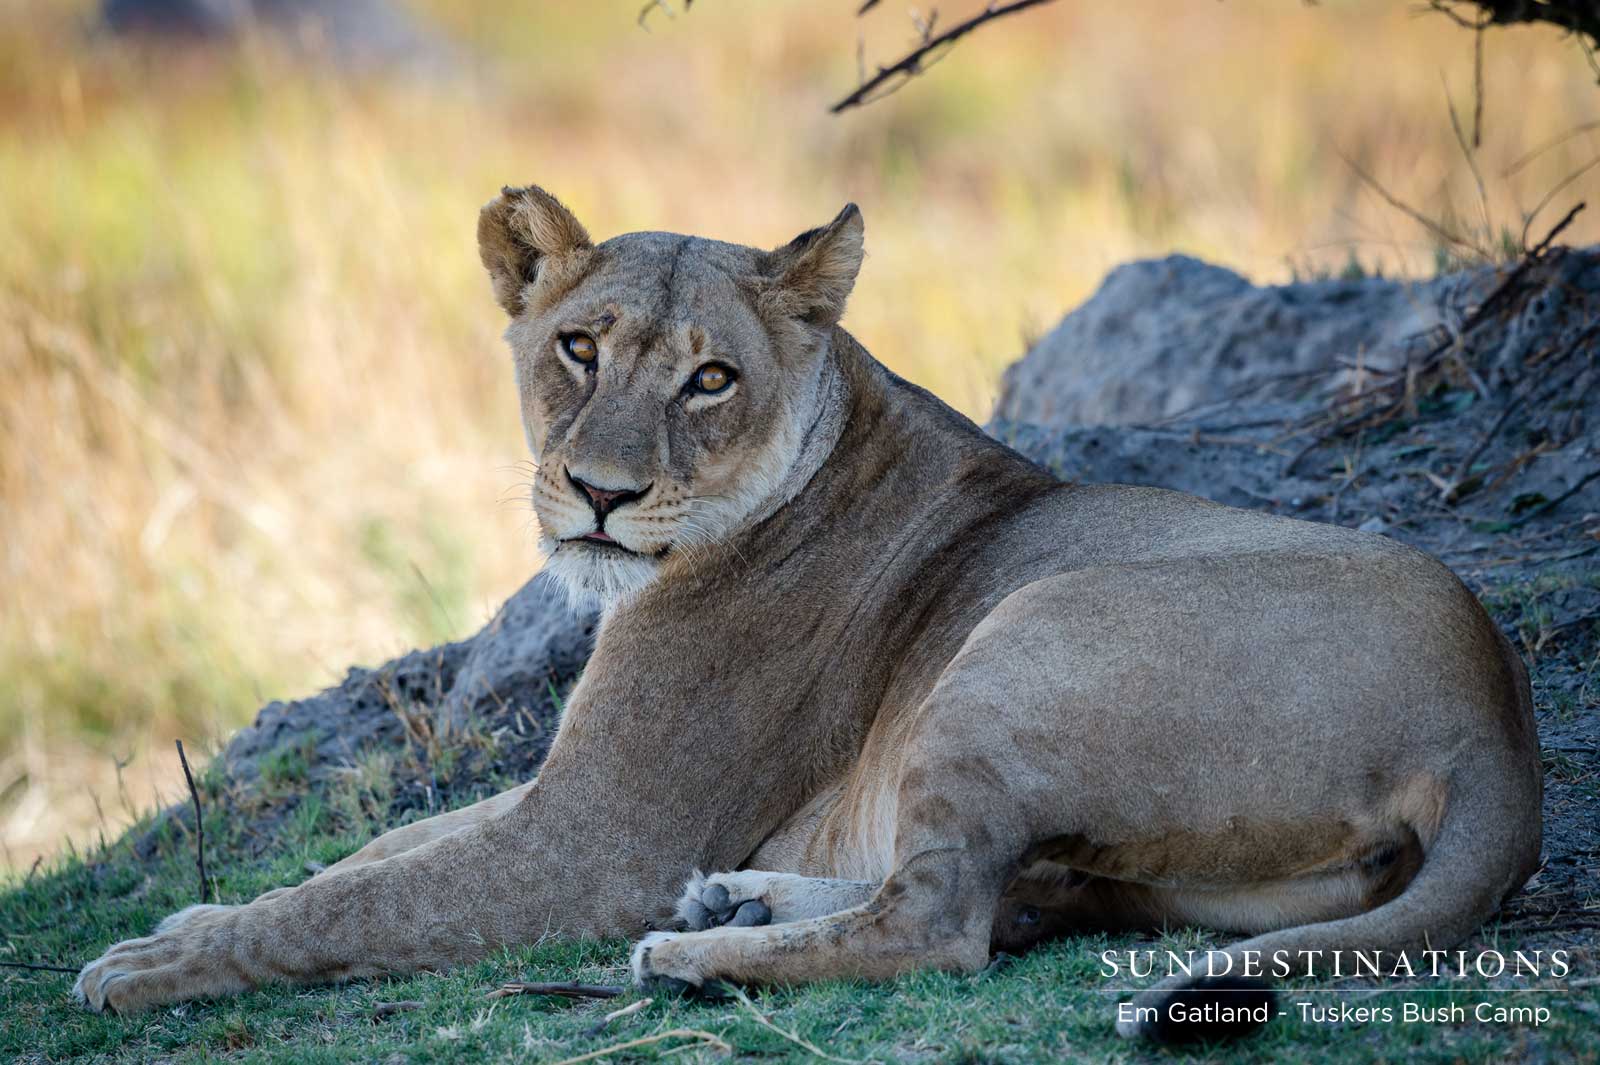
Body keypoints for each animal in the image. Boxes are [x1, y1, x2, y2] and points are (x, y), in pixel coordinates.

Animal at [75, 188, 1542, 1042]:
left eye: (712, 377)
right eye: (578, 348)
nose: (600, 495)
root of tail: (1498, 725)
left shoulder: (595, 841)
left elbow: (355, 905)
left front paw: (142, 969)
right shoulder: (558, 799)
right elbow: (373, 857)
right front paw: (181, 930)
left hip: (1025, 634)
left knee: (943, 922)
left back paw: (692, 952)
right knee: (1019, 894)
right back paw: (740, 902)